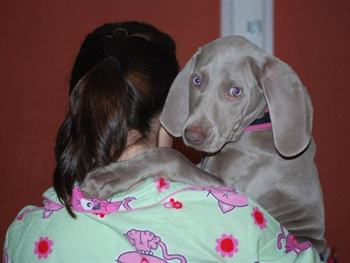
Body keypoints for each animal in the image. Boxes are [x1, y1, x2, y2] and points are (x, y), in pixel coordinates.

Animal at [82, 36, 326, 254]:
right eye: (197, 80)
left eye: (236, 91)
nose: (193, 136)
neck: (251, 128)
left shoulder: (231, 189)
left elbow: (170, 156)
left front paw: (106, 177)